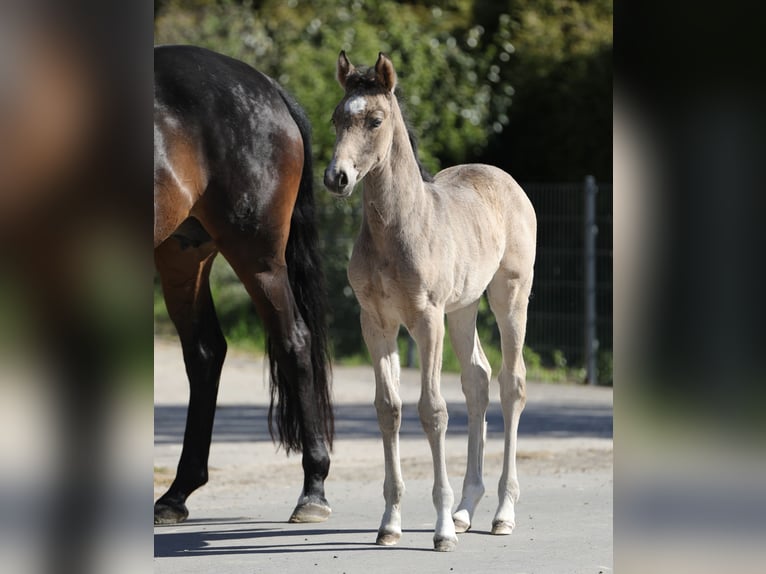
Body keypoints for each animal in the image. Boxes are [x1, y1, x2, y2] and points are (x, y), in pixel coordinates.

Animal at [153, 45, 334, 525]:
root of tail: (268, 87)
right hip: (182, 254)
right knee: (204, 352)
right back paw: (176, 493)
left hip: (257, 256)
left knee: (294, 342)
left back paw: (313, 489)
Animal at [323, 52, 537, 552]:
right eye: (337, 118)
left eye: (375, 120)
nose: (336, 177)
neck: (396, 230)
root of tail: (505, 179)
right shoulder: (376, 322)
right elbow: (389, 409)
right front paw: (390, 523)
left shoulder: (426, 320)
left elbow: (432, 410)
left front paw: (440, 531)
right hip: (463, 308)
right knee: (478, 379)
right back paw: (466, 509)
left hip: (509, 297)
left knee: (511, 384)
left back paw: (502, 512)